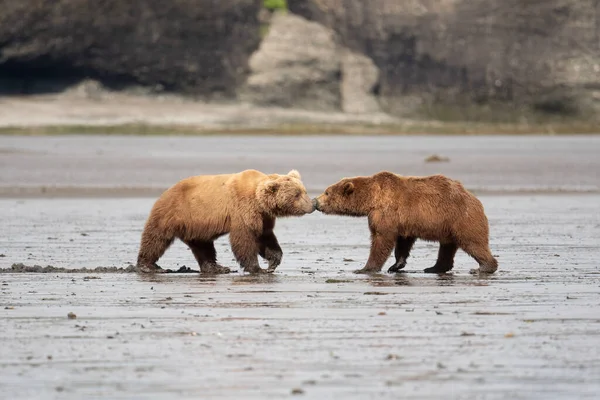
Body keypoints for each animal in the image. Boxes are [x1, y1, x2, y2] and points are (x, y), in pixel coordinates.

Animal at [136, 169, 314, 276]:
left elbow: (265, 236)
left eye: (303, 191)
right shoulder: (242, 209)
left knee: (203, 245)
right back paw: (148, 265)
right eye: (297, 194)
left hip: (197, 224)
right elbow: (244, 239)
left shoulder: (263, 216)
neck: (258, 200)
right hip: (173, 213)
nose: (312, 204)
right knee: (156, 238)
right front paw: (257, 268)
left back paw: (217, 267)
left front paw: (273, 262)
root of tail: (165, 191)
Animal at [314, 172, 496, 276]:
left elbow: (381, 239)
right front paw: (396, 265)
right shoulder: (404, 220)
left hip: (462, 219)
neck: (372, 198)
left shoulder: (386, 212)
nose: (316, 201)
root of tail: (474, 198)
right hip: (448, 226)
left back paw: (484, 267)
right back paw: (434, 268)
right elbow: (403, 242)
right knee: (447, 247)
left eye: (327, 192)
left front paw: (364, 268)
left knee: (473, 243)